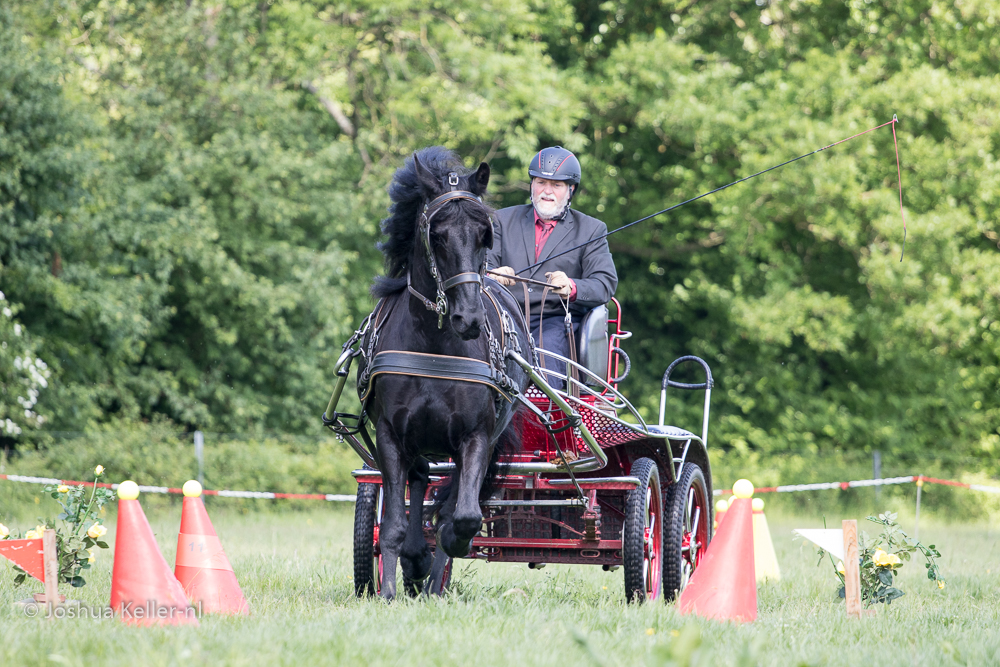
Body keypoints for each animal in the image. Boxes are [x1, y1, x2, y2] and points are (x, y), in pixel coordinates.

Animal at [360, 147, 532, 600]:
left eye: (485, 234)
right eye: (436, 235)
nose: (468, 318)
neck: (433, 346)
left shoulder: (476, 437)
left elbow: (463, 516)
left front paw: (441, 556)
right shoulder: (390, 434)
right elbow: (395, 523)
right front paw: (390, 588)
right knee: (420, 478)